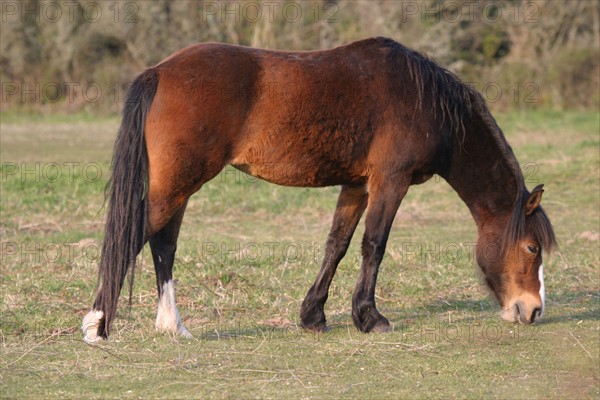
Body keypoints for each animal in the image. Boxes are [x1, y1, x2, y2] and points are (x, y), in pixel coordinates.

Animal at [81, 37, 556, 342]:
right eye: (532, 248)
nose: (533, 310)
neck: (425, 101)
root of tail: (160, 72)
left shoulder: (357, 184)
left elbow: (337, 245)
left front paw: (313, 315)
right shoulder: (390, 181)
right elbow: (374, 245)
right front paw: (369, 318)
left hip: (179, 188)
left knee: (162, 245)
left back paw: (173, 327)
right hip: (178, 184)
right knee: (133, 237)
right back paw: (97, 325)